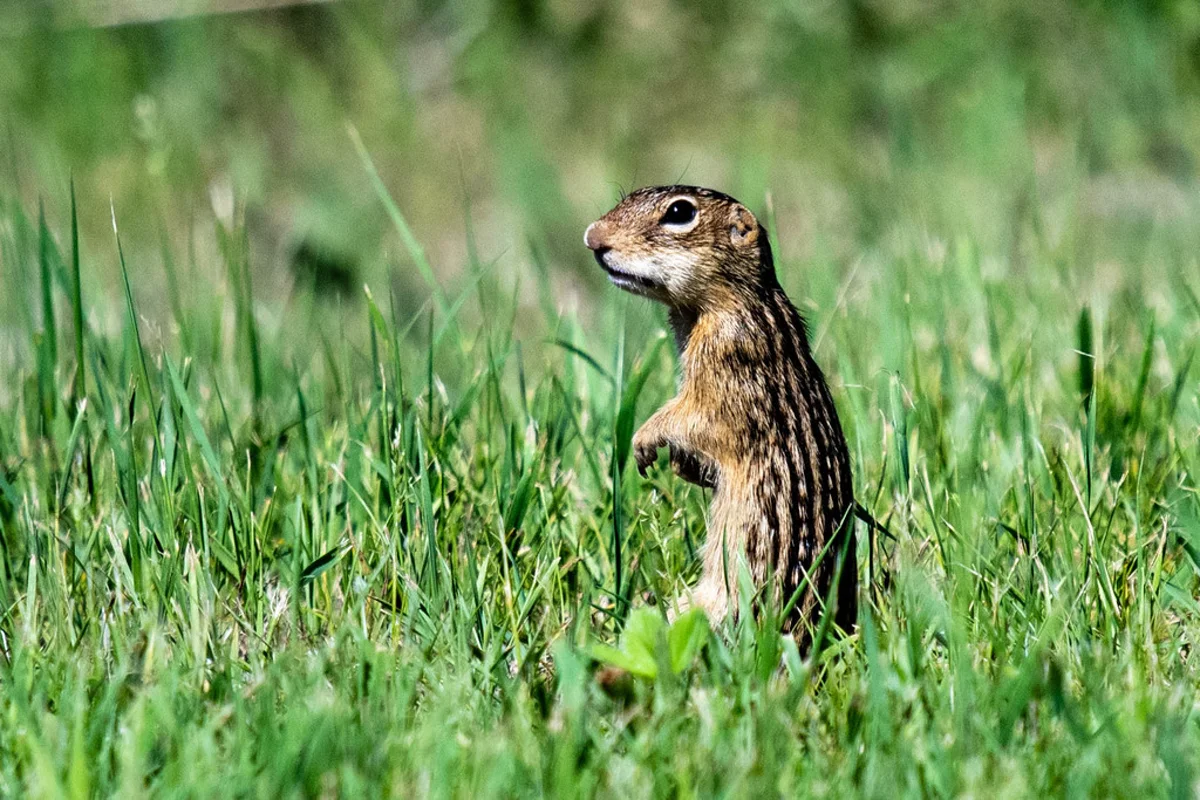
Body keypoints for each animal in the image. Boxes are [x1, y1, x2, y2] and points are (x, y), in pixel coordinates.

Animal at [585, 185, 856, 637]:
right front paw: (683, 466)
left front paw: (645, 441)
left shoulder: (725, 374)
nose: (592, 237)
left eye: (680, 212)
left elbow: (693, 419)